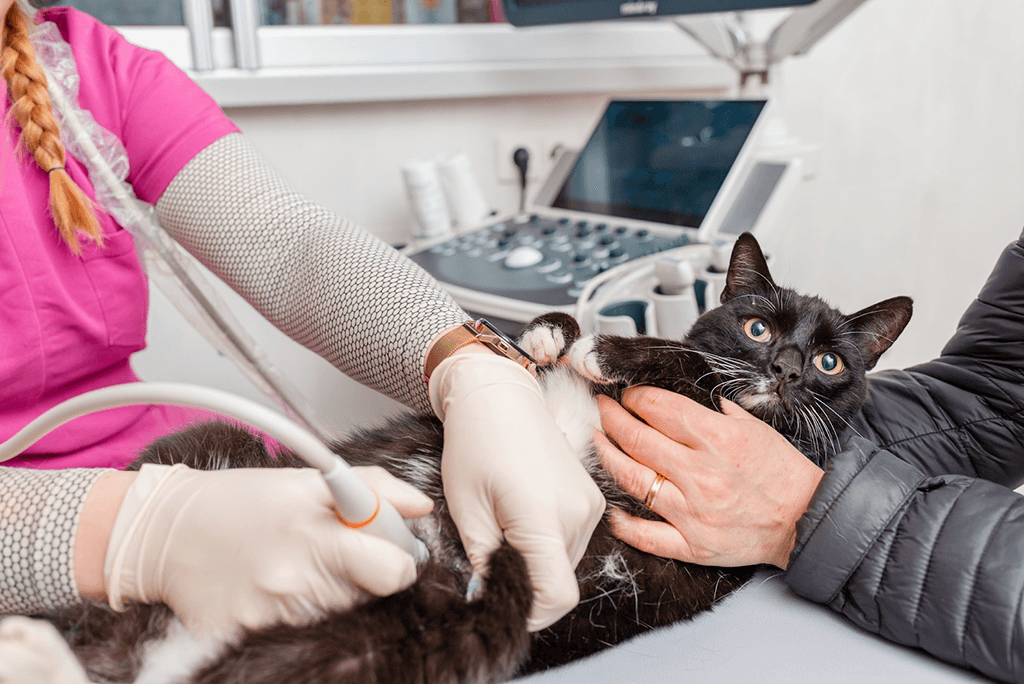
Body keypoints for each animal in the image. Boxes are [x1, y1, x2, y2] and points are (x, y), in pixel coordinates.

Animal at [0, 231, 913, 684]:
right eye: (757, 325)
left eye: (831, 362)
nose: (785, 368)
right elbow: (536, 351)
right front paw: (551, 333)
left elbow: (691, 369)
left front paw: (614, 350)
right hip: (202, 450)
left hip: (393, 645)